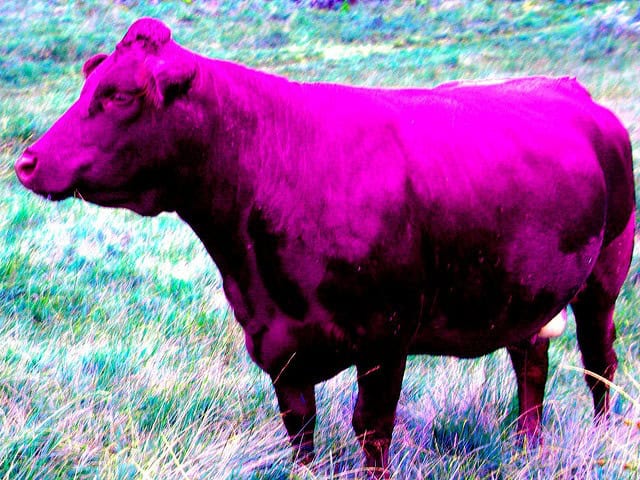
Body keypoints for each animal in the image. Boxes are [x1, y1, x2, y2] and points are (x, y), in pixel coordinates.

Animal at [14, 18, 635, 478]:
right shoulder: (275, 343)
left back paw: (602, 444)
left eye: (119, 95)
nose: (27, 161)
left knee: (598, 365)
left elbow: (372, 429)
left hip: (604, 277)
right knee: (531, 363)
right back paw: (528, 451)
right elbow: (300, 430)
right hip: (526, 289)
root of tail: (568, 87)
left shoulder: (387, 336)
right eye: (88, 86)